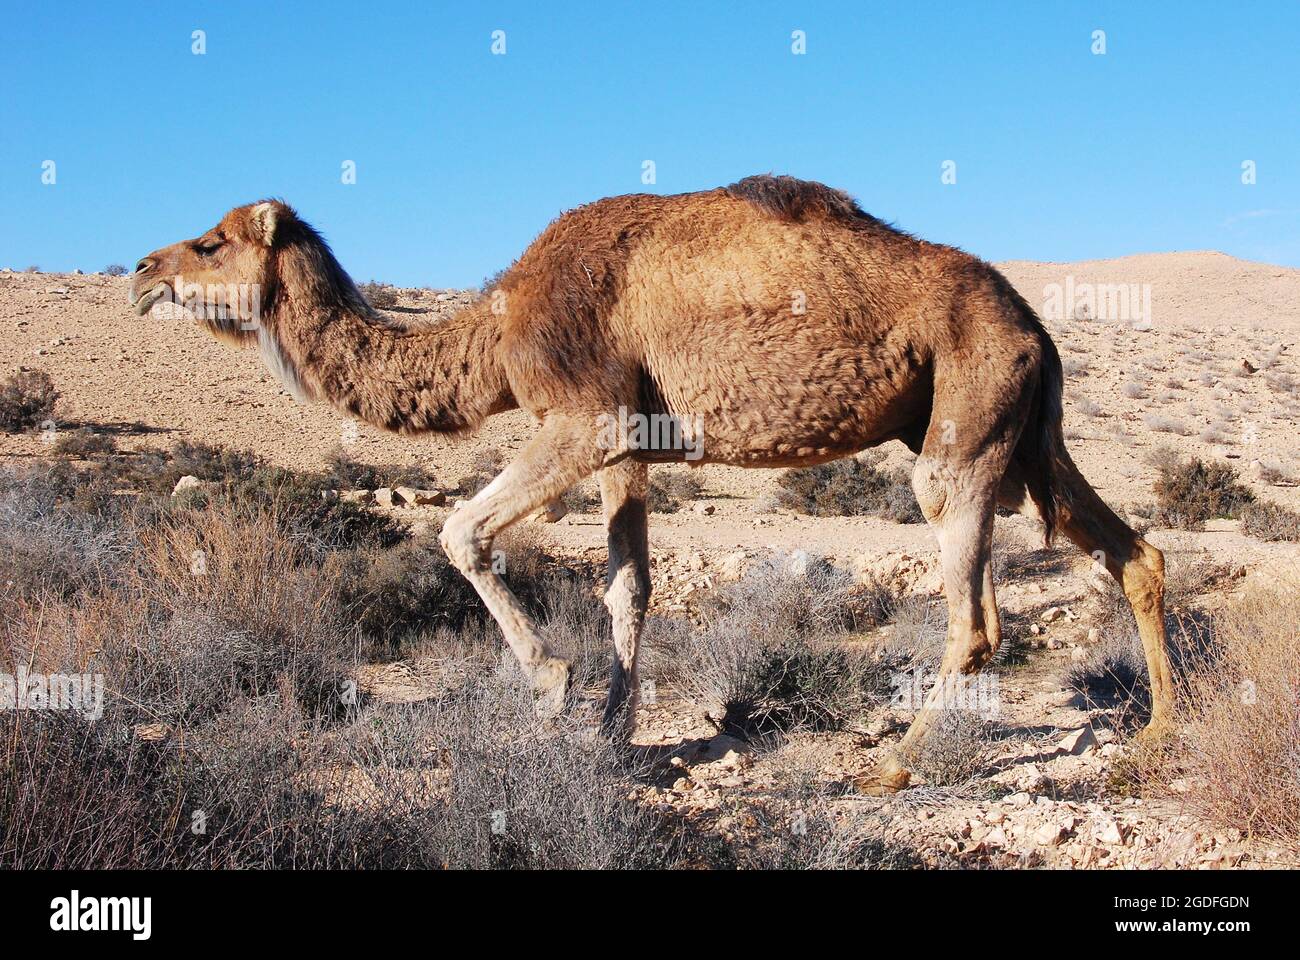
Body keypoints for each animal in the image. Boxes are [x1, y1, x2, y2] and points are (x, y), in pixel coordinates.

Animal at [128, 176, 1174, 791]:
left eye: (213, 241)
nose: (140, 269)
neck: (498, 328)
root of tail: (1033, 324)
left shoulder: (582, 415)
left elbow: (460, 532)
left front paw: (552, 686)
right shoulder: (630, 441)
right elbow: (627, 587)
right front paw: (612, 736)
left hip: (964, 420)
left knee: (978, 617)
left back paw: (889, 770)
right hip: (1026, 430)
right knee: (1134, 555)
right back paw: (1158, 733)